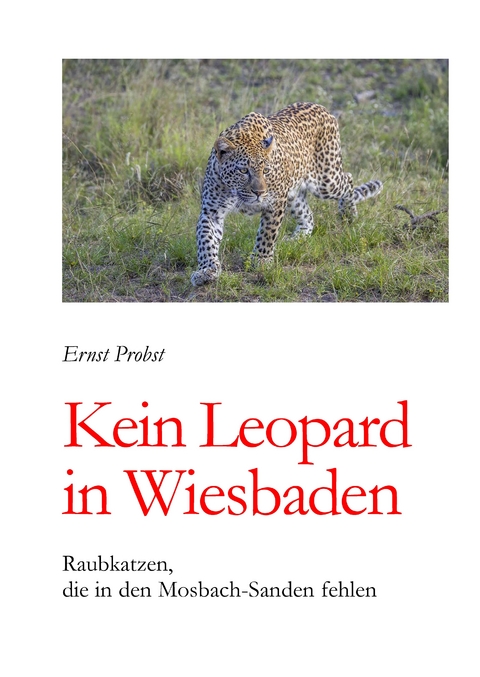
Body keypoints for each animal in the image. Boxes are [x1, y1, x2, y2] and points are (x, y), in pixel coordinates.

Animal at [191, 102, 382, 286]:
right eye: (243, 170)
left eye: (266, 171)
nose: (259, 192)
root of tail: (324, 109)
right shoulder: (212, 211)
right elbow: (206, 240)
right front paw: (206, 270)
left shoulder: (275, 202)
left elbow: (267, 234)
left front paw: (261, 260)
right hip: (294, 195)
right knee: (308, 216)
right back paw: (296, 238)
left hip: (326, 180)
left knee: (348, 178)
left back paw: (348, 214)